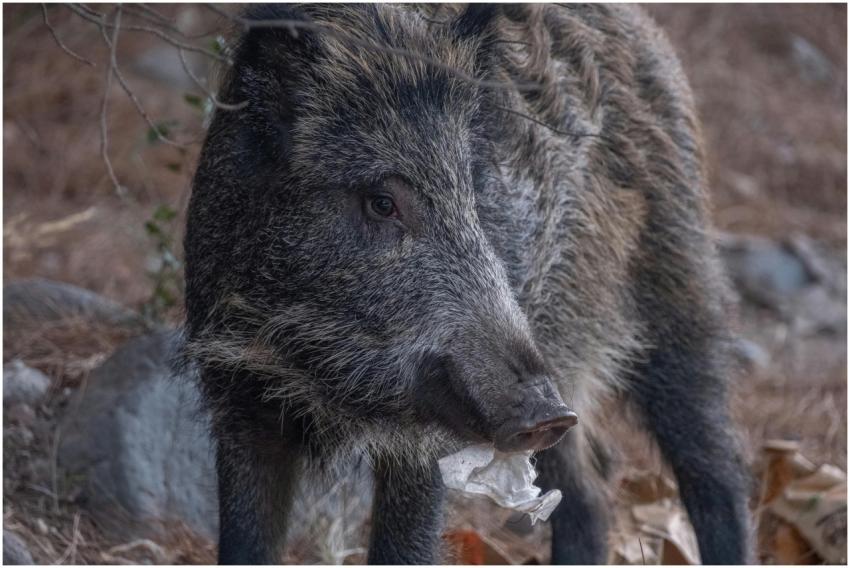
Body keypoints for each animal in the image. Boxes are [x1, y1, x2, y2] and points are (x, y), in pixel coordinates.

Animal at [182, 3, 751, 564]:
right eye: (382, 201)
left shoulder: (423, 444)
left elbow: (405, 548)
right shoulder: (239, 397)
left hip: (677, 279)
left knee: (718, 469)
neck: (316, 368)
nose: (544, 413)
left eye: (471, 194)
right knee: (588, 493)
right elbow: (245, 541)